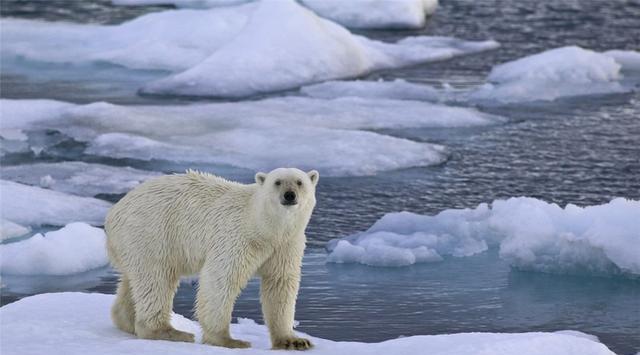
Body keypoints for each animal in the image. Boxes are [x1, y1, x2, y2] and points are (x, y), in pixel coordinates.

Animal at [104, 169, 320, 350]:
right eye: (278, 182)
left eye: (299, 182)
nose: (289, 195)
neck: (264, 228)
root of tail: (113, 213)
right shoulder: (237, 237)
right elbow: (221, 279)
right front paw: (228, 340)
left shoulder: (285, 246)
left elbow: (280, 284)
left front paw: (294, 341)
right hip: (151, 233)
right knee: (157, 279)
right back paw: (170, 332)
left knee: (135, 281)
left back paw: (127, 321)